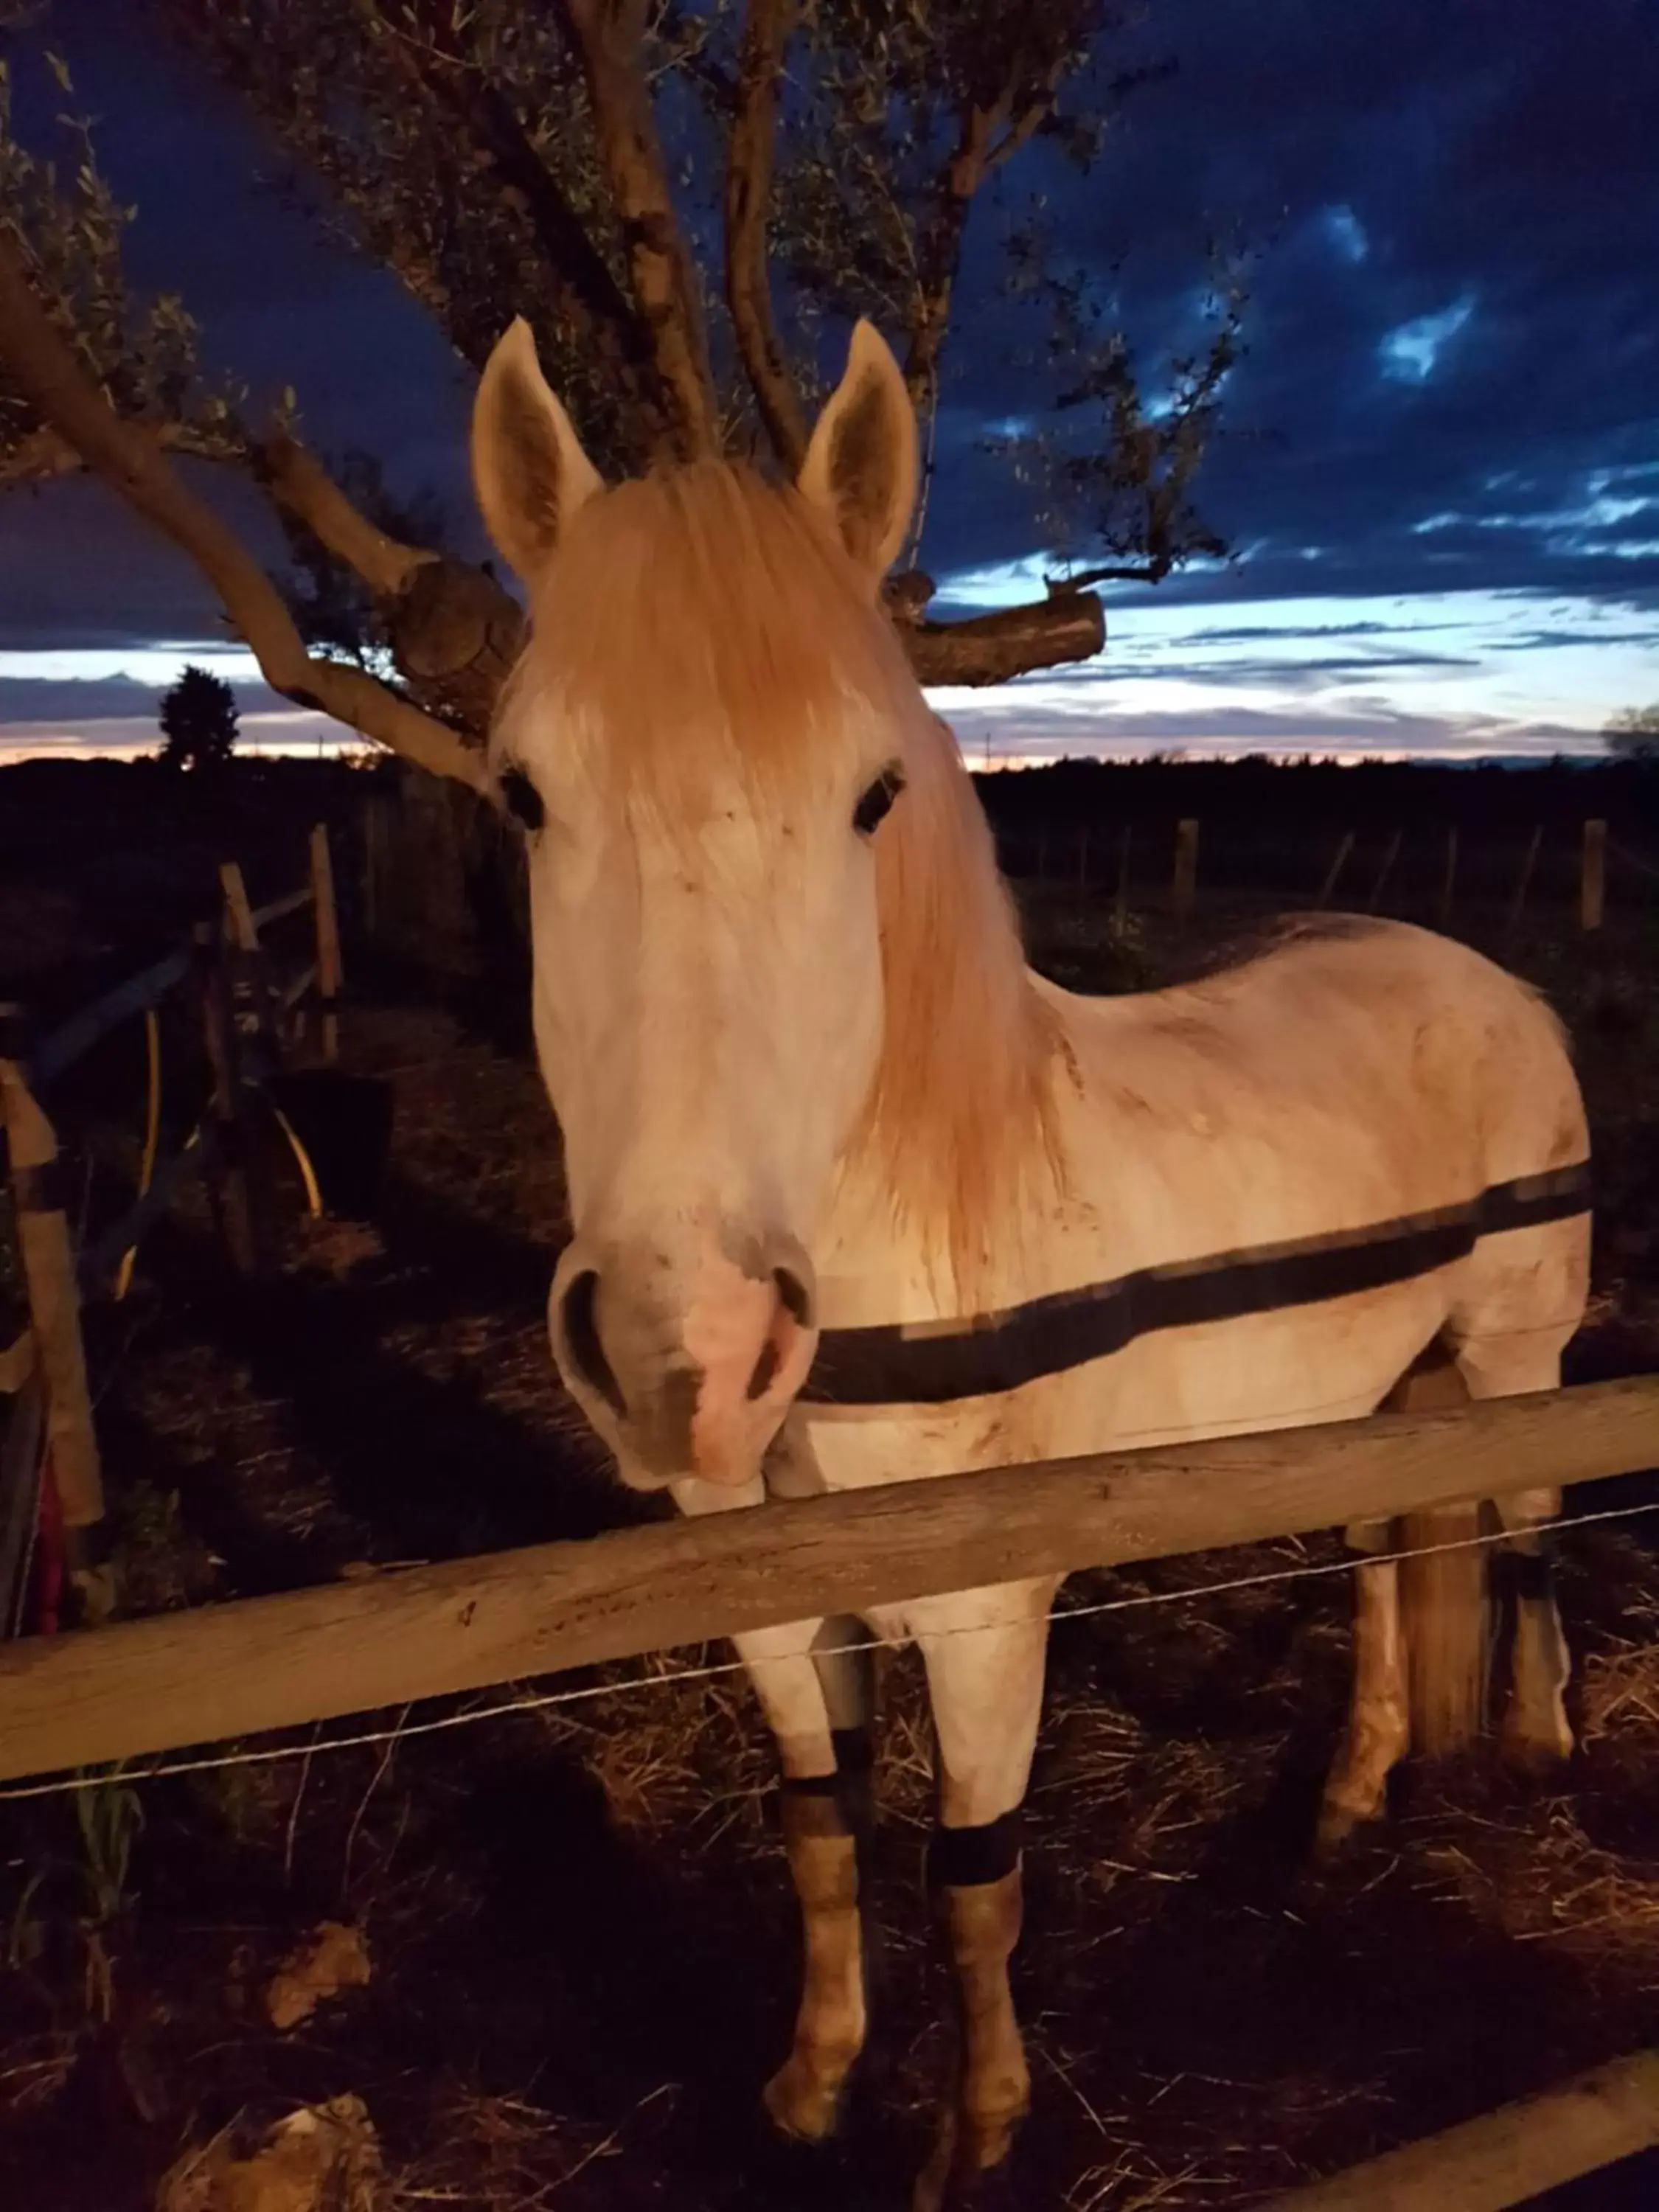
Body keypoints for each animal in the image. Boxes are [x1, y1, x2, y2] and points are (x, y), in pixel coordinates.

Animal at [469, 321, 1601, 2203]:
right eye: (523, 792)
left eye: (871, 795)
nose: (687, 1350)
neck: (923, 1232)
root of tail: (1488, 976)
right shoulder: (773, 1610)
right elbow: (822, 1837)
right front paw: (811, 2084)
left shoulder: (990, 1616)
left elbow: (972, 1877)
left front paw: (980, 2131)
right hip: (1366, 1398)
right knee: (1386, 1560)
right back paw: (1351, 1798)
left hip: (1516, 1366)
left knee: (1521, 1539)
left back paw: (1536, 1751)